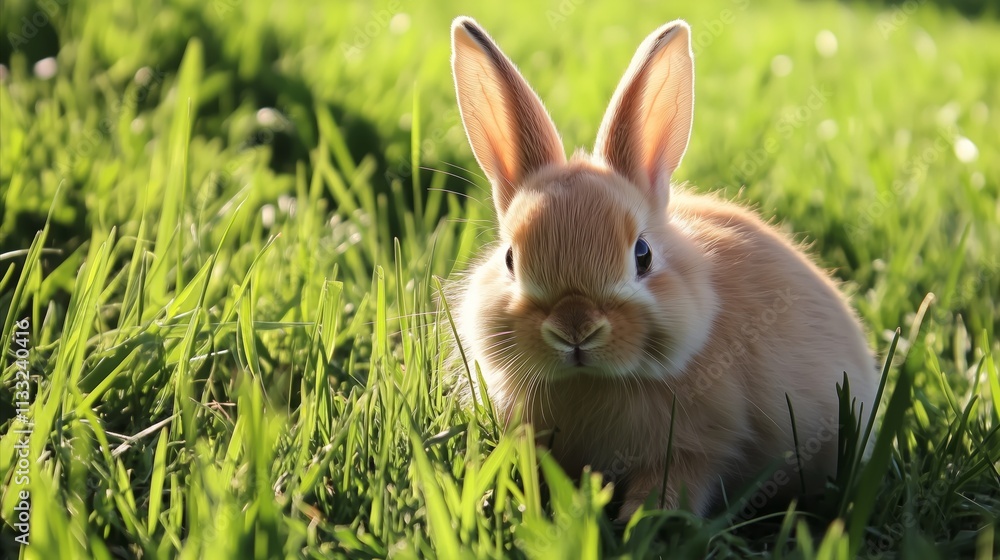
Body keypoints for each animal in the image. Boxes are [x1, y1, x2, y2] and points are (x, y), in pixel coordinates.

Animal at [447, 16, 878, 521]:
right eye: (510, 260)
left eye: (643, 254)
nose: (575, 329)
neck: (592, 381)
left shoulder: (699, 447)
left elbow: (675, 484)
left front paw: (643, 521)